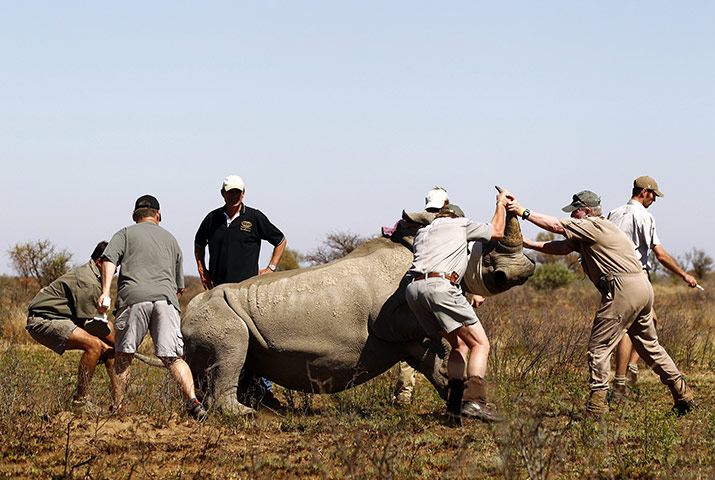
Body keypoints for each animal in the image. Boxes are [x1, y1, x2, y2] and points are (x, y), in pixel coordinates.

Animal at [182, 211, 535, 414]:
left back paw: (262, 409)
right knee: (233, 350)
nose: (522, 272)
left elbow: (431, 360)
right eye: (490, 255)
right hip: (215, 312)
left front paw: (454, 396)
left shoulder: (406, 336)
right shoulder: (389, 320)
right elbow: (432, 342)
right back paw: (246, 415)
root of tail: (185, 314)